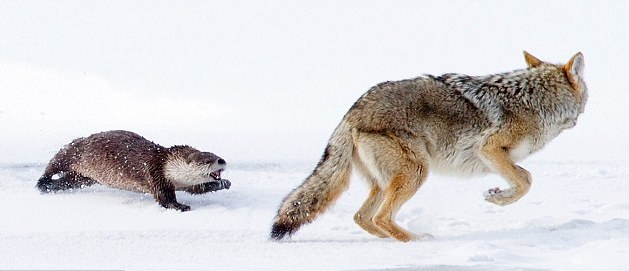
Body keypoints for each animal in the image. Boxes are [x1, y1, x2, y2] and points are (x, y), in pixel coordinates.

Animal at [36, 130, 231, 212]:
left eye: (217, 155)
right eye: (207, 160)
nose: (222, 161)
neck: (168, 165)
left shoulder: (184, 183)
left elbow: (197, 188)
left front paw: (223, 183)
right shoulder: (156, 174)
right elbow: (164, 198)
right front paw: (181, 206)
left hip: (84, 177)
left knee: (69, 180)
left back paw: (52, 186)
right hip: (72, 152)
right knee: (53, 165)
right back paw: (42, 183)